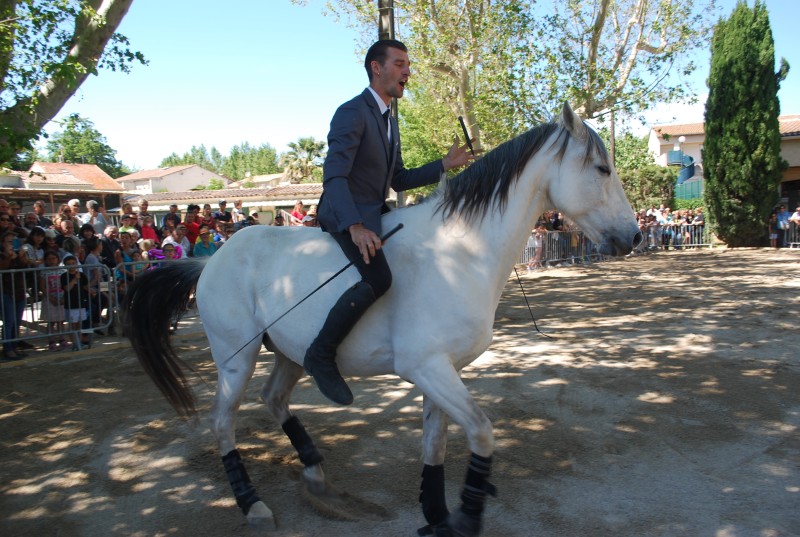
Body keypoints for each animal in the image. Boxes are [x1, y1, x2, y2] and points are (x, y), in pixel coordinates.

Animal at [122, 102, 640, 532]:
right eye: (602, 168)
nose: (633, 236)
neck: (461, 251)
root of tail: (212, 260)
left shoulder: (442, 371)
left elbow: (436, 445)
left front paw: (435, 514)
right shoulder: (427, 367)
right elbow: (481, 432)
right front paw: (465, 518)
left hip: (289, 353)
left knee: (274, 399)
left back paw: (315, 473)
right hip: (236, 360)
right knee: (223, 423)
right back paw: (252, 504)